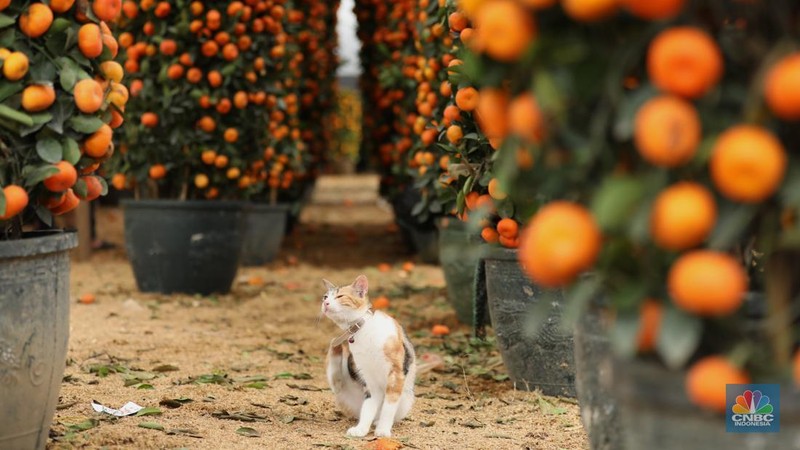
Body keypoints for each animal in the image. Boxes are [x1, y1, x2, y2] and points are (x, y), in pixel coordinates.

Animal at [320, 274, 416, 436]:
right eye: (325, 296)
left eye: (340, 296)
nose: (325, 303)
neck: (362, 330)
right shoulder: (369, 378)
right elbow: (368, 408)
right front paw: (361, 429)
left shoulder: (395, 373)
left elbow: (388, 407)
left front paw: (382, 430)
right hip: (345, 387)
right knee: (336, 380)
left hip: (405, 399)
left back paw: (377, 423)